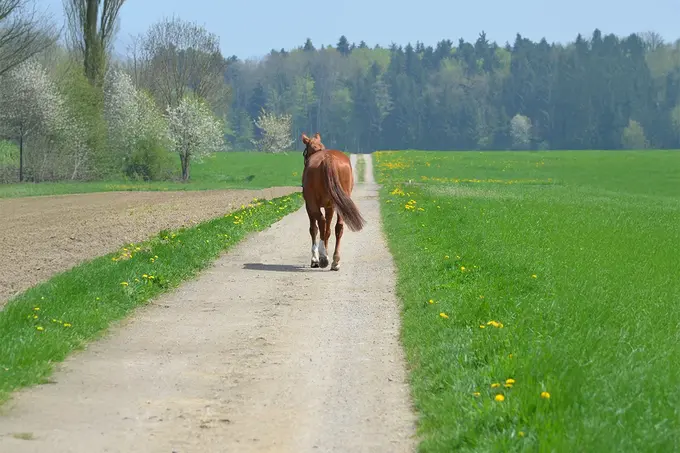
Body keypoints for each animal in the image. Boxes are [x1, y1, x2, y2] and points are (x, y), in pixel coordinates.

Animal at [301, 133, 365, 271]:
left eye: (305, 152)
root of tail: (327, 159)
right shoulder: (329, 206)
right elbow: (328, 231)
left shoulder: (309, 206)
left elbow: (314, 229)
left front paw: (315, 258)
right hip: (339, 203)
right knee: (338, 227)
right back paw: (335, 261)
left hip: (313, 204)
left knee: (321, 222)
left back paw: (323, 257)